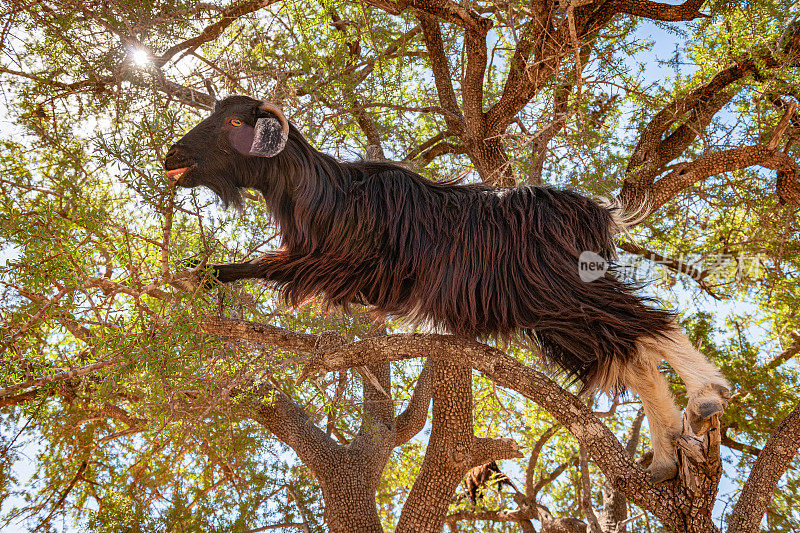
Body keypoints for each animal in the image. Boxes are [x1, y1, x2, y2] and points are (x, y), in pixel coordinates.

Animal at [164, 94, 732, 482]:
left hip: (563, 290)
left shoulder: (330, 261)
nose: (173, 155)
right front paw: (195, 274)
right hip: (557, 316)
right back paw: (663, 458)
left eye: (234, 122)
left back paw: (706, 396)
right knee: (628, 354)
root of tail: (593, 212)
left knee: (650, 326)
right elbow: (259, 266)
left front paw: (197, 273)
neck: (326, 192)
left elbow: (267, 266)